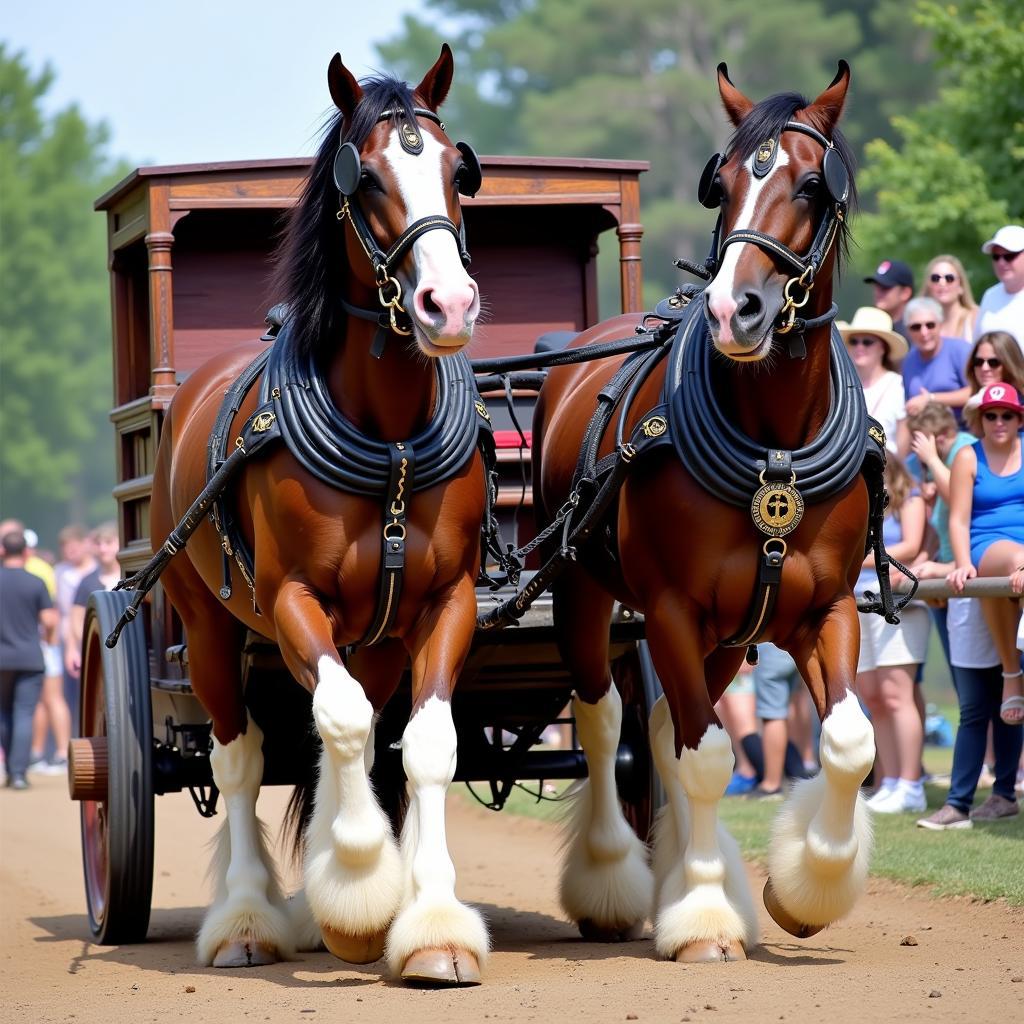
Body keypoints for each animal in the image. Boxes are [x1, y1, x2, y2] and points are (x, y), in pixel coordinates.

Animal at [148, 46, 491, 983]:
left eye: (457, 172)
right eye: (364, 178)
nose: (449, 305)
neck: (391, 439)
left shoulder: (445, 602)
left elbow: (422, 743)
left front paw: (429, 922)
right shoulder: (294, 600)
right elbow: (334, 720)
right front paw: (361, 885)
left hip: (374, 638)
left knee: (362, 735)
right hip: (208, 628)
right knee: (238, 755)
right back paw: (247, 919)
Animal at [532, 61, 876, 958]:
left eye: (811, 186)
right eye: (720, 185)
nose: (731, 311)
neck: (773, 446)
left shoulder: (824, 607)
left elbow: (848, 742)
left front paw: (804, 890)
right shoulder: (672, 610)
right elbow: (706, 756)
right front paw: (704, 919)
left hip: (729, 636)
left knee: (657, 724)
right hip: (584, 592)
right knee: (606, 720)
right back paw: (613, 879)